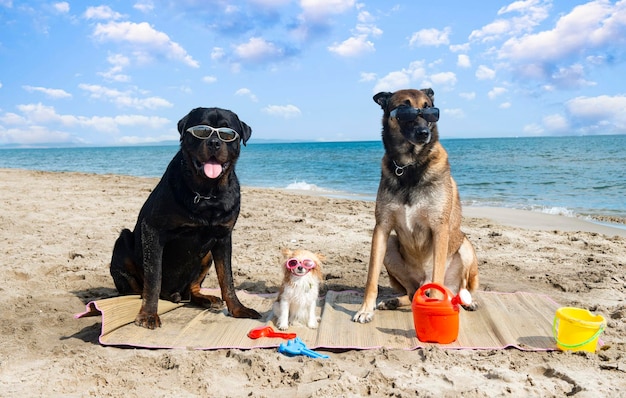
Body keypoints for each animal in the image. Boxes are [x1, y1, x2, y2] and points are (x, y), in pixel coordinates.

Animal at [108, 106, 260, 330]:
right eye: (201, 130)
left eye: (227, 133)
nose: (214, 142)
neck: (207, 193)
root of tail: (174, 294)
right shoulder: (153, 230)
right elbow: (153, 278)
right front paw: (148, 314)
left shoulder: (224, 236)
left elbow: (227, 278)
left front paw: (238, 309)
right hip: (123, 241)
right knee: (135, 288)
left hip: (206, 256)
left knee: (193, 288)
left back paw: (205, 298)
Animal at [352, 88, 478, 324]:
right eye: (404, 110)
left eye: (430, 110)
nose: (423, 133)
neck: (410, 166)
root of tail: (422, 284)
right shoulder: (381, 229)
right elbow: (371, 277)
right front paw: (365, 309)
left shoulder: (439, 229)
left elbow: (438, 276)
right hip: (392, 245)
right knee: (411, 294)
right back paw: (394, 301)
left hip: (465, 247)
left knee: (459, 289)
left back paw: (467, 301)